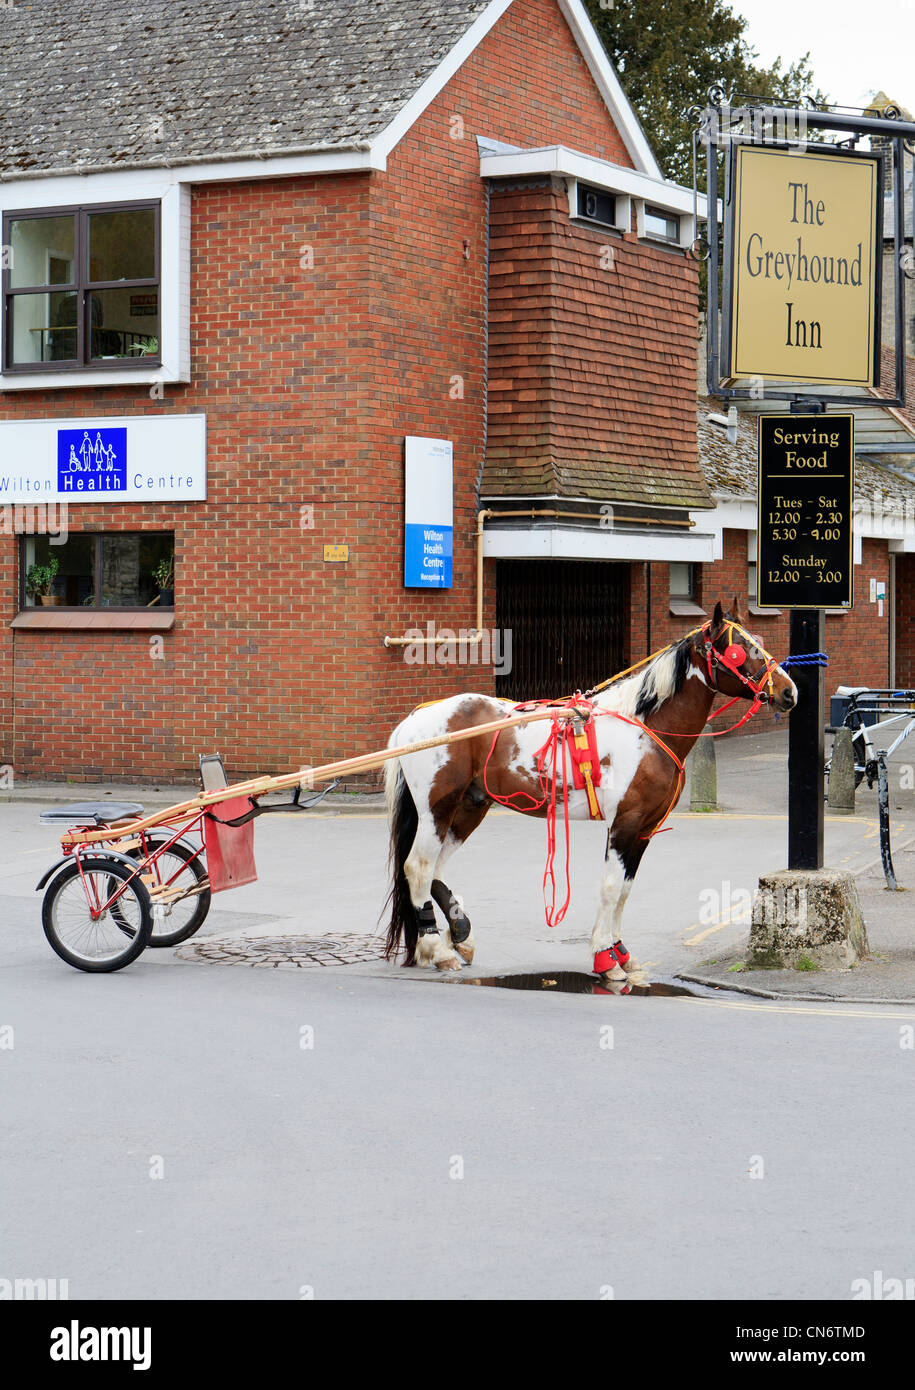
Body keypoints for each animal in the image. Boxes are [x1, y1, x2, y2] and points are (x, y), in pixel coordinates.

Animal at [383, 601, 798, 986]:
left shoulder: (643, 830)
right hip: (438, 808)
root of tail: (415, 719)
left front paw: (620, 952)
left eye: (759, 642)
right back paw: (437, 949)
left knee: (435, 869)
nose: (790, 692)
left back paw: (457, 935)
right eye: (740, 650)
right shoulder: (625, 824)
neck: (644, 728)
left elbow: (625, 890)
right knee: (418, 867)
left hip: (468, 808)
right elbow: (612, 888)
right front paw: (604, 958)